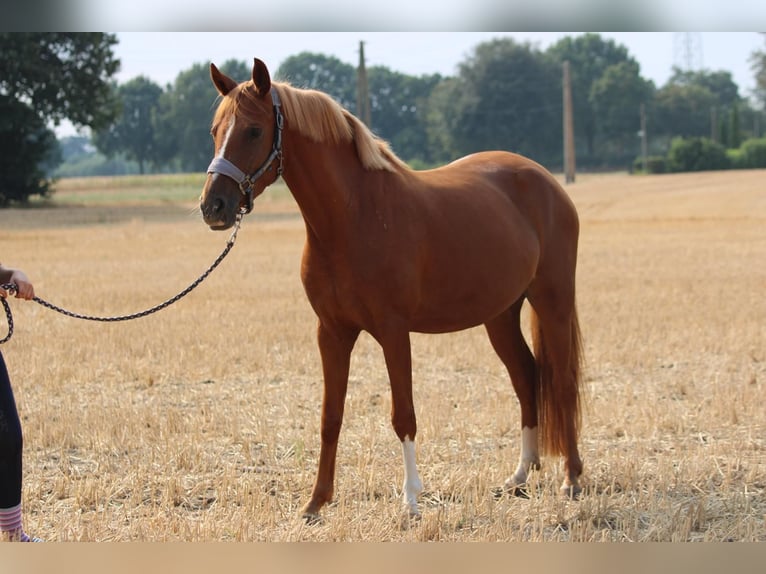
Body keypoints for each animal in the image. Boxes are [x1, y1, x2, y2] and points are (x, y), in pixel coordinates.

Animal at [200, 58, 584, 521]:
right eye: (214, 130)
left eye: (254, 131)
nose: (213, 207)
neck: (355, 216)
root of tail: (547, 180)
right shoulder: (332, 332)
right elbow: (331, 417)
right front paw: (316, 503)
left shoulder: (393, 332)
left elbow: (404, 414)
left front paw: (411, 501)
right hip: (500, 315)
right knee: (526, 376)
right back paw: (520, 475)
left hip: (553, 301)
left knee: (562, 382)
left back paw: (571, 479)